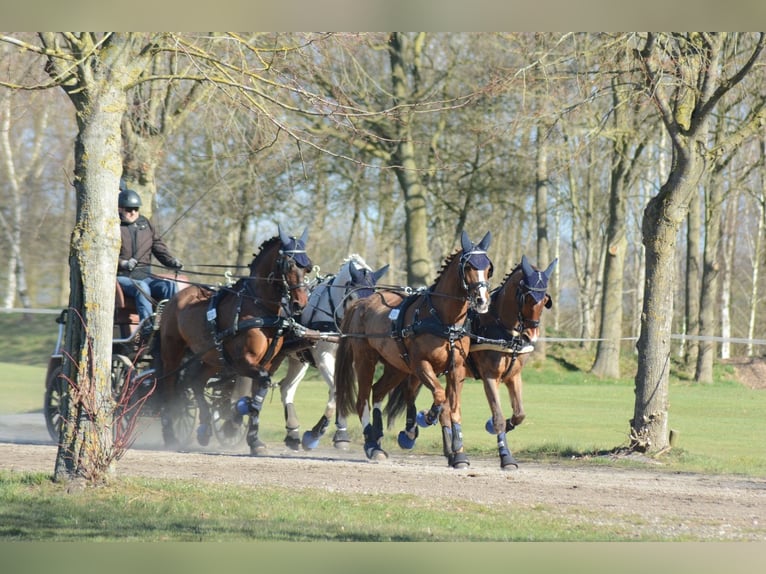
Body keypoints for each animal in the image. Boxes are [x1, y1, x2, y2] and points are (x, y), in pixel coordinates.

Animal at [153, 226, 313, 456]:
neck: (259, 307)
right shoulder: (243, 361)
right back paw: (171, 434)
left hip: (212, 357)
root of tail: (176, 297)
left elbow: (257, 398)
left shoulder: (267, 364)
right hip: (172, 354)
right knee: (169, 386)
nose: (301, 303)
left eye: (307, 268)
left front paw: (253, 439)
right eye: (289, 264)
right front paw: (234, 422)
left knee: (196, 382)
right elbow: (256, 391)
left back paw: (204, 429)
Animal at [275, 254, 390, 451]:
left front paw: (340, 434)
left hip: (298, 360)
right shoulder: (323, 357)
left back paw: (292, 434)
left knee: (286, 389)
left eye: (373, 296)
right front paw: (316, 433)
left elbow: (338, 390)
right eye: (352, 296)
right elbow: (336, 389)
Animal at [335, 230, 493, 469]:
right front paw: (427, 417)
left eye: (488, 267)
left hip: (396, 366)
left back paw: (378, 437)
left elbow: (453, 408)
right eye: (468, 267)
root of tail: (361, 303)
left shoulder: (456, 369)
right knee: (362, 400)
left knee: (378, 391)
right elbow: (439, 395)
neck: (443, 320)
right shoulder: (420, 365)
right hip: (365, 360)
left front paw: (458, 452)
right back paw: (372, 445)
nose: (482, 300)